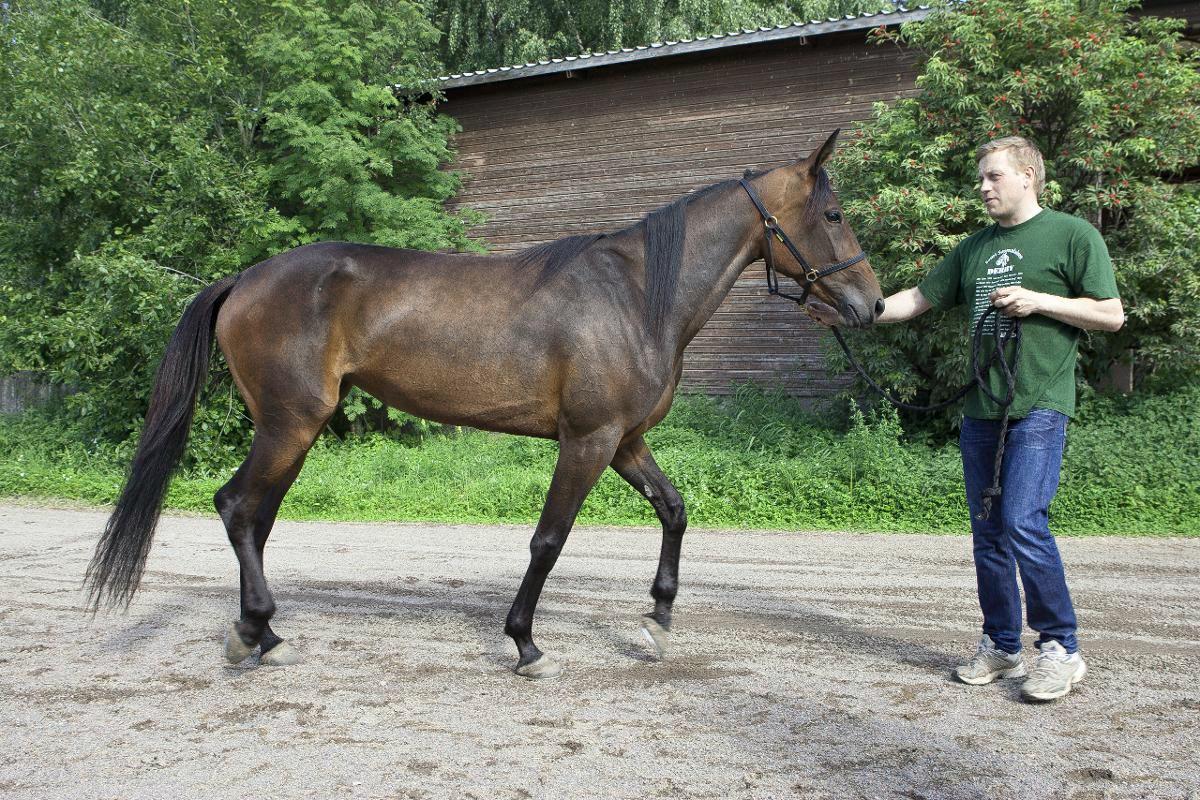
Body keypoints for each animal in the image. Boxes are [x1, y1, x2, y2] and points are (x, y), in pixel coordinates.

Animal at [87, 128, 883, 681]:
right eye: (834, 213)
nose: (871, 303)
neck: (633, 297)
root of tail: (245, 279)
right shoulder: (588, 440)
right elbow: (548, 540)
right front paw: (526, 642)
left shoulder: (624, 440)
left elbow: (674, 509)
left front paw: (658, 620)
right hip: (292, 423)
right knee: (237, 508)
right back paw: (256, 632)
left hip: (291, 430)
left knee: (255, 517)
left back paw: (262, 635)